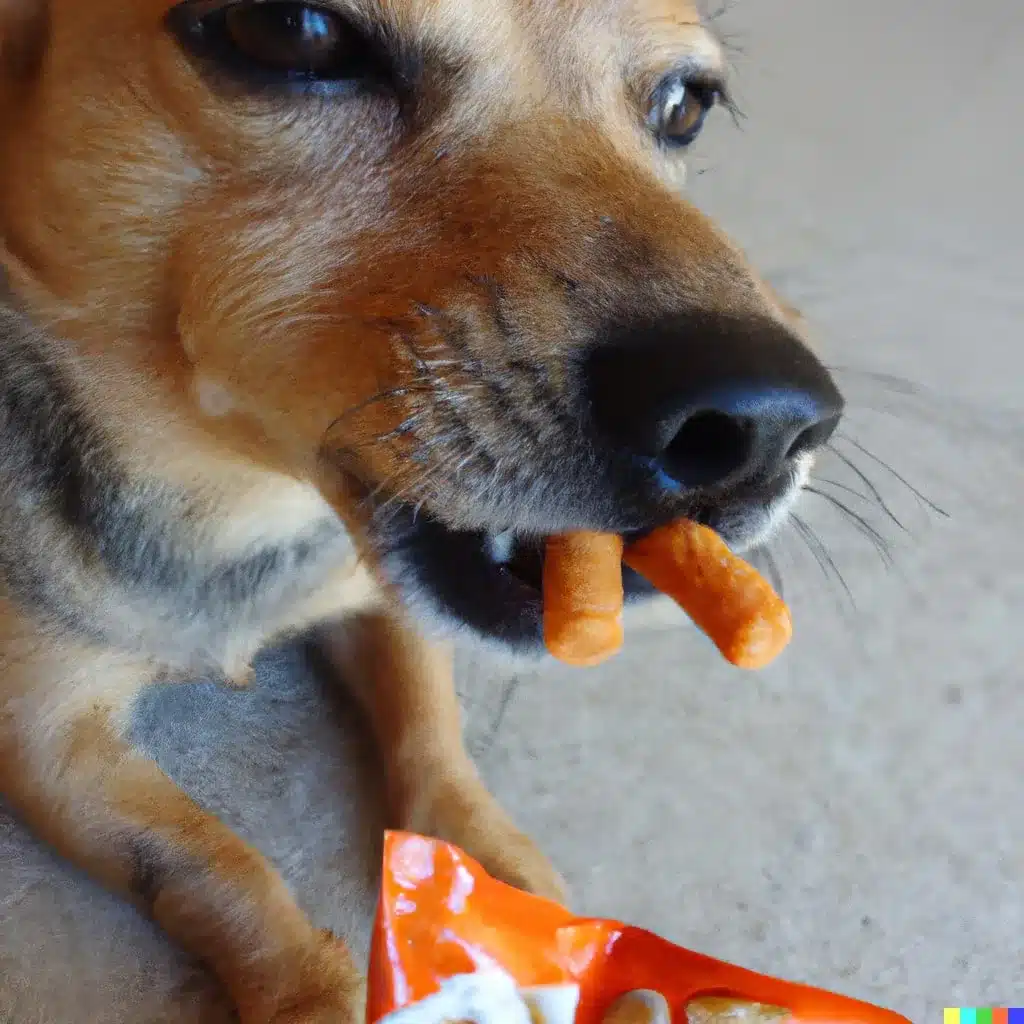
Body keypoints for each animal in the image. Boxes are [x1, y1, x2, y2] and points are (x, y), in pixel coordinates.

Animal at [0, 0, 839, 1019]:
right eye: (295, 32)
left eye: (687, 104)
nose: (769, 427)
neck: (240, 510)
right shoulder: (45, 741)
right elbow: (210, 860)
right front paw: (309, 990)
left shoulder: (383, 593)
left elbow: (434, 728)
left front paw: (493, 876)